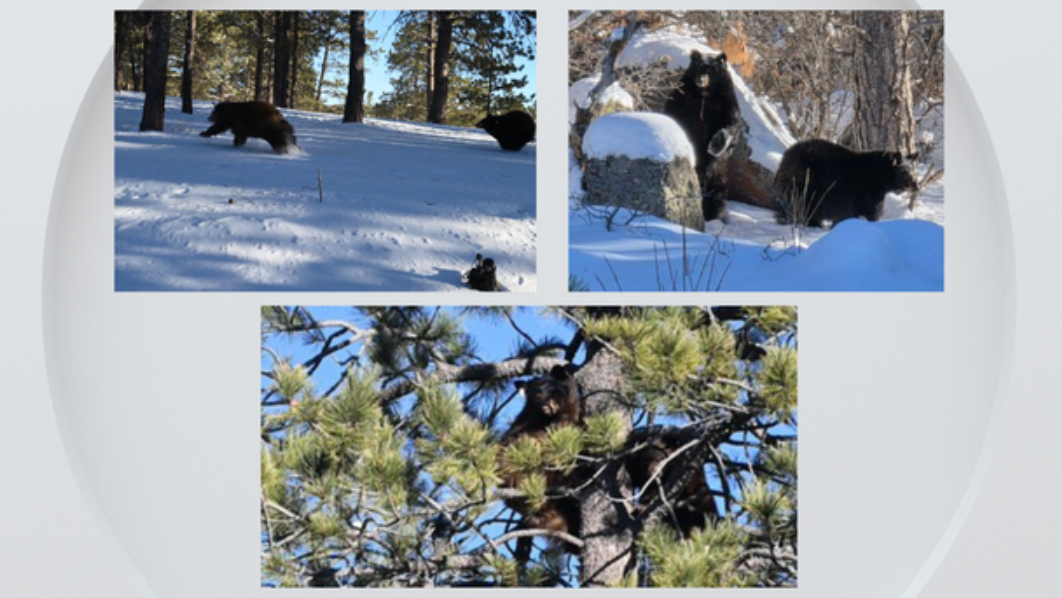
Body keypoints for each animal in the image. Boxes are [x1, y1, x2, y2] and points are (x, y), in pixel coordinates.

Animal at [663, 50, 744, 222]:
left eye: (711, 69)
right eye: (699, 67)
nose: (701, 79)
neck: (705, 94)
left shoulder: (724, 102)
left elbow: (730, 125)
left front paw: (714, 145)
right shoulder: (683, 98)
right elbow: (674, 114)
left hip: (718, 171)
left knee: (717, 191)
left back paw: (714, 213)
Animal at [772, 139, 920, 228]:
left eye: (913, 170)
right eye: (904, 172)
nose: (916, 186)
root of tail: (784, 159)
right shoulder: (866, 191)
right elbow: (870, 212)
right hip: (803, 184)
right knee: (801, 205)